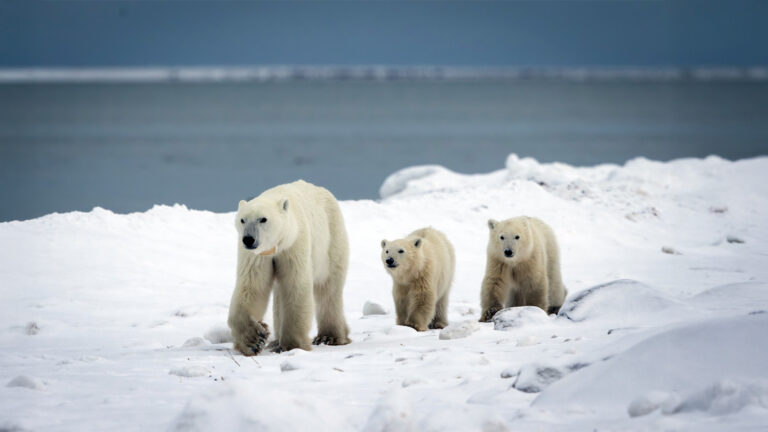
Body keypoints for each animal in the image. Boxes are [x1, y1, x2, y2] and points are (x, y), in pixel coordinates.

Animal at [228, 180, 351, 356]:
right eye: (242, 220)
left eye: (263, 219)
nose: (248, 239)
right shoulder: (258, 256)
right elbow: (252, 286)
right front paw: (254, 340)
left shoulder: (294, 244)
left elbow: (295, 286)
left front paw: (293, 345)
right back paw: (275, 341)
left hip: (331, 239)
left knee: (328, 288)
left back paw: (329, 337)